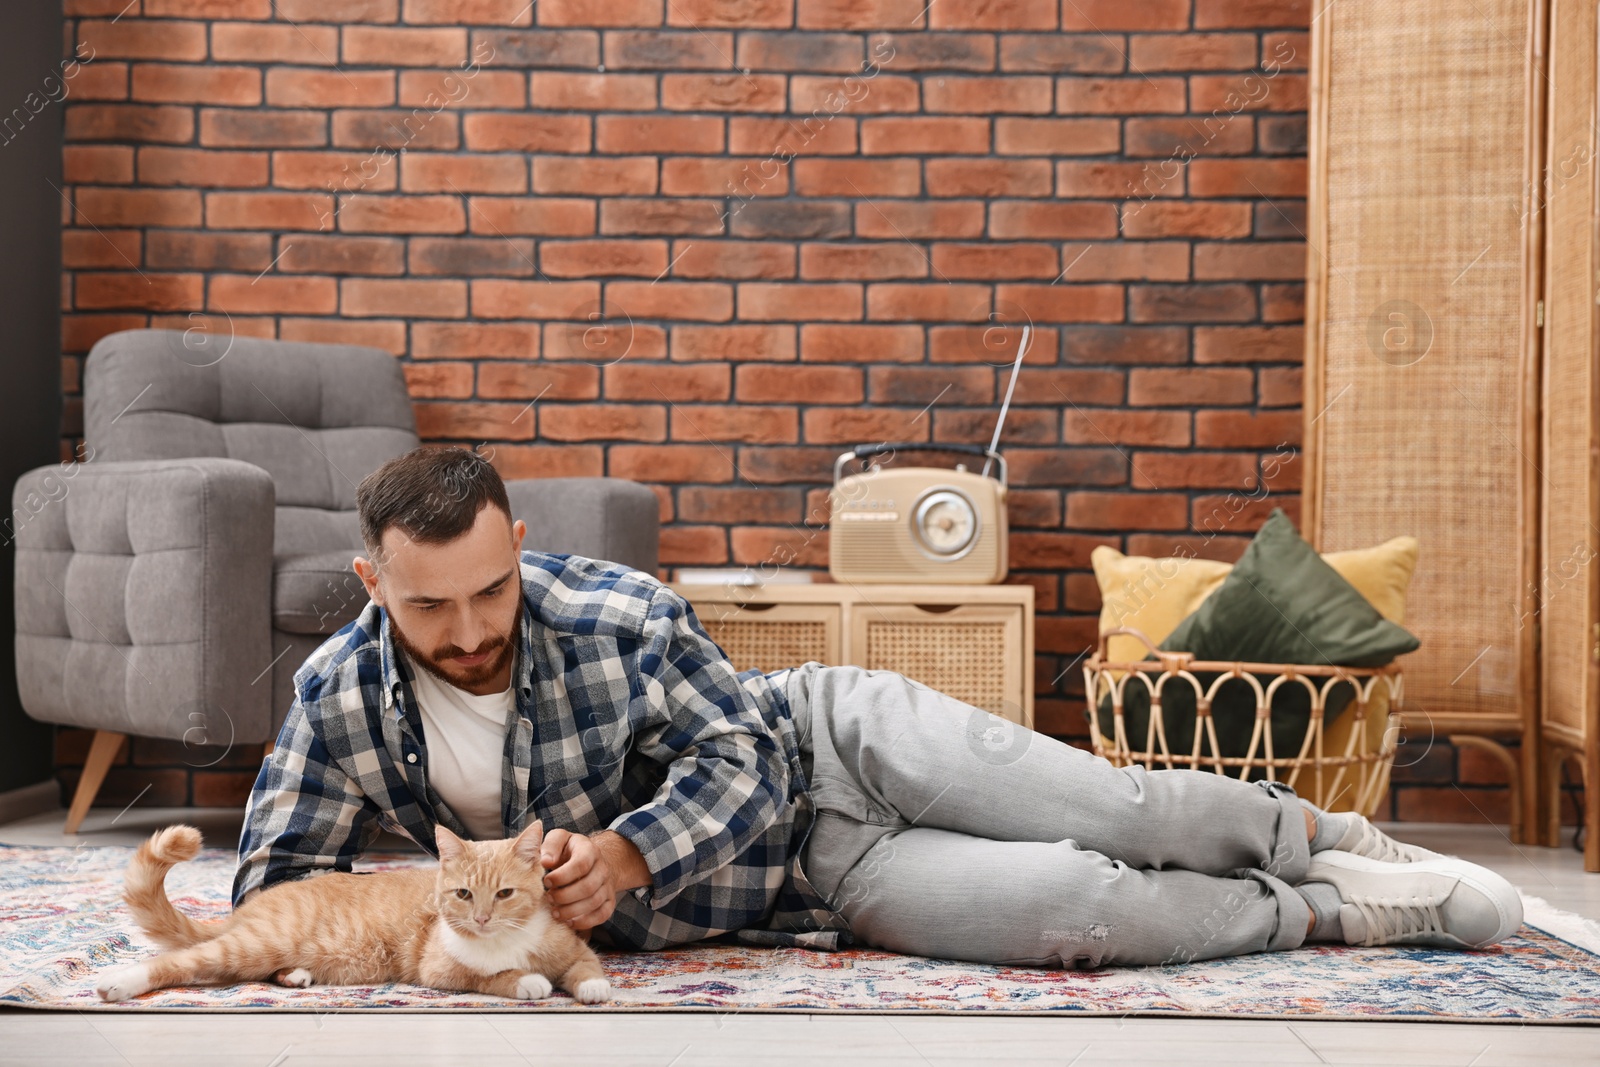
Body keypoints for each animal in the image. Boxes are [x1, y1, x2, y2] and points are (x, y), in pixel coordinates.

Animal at [92, 825, 611, 1004]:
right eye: (464, 894)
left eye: (504, 894)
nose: (482, 919)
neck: (506, 941)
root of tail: (257, 905)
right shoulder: (440, 971)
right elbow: (492, 977)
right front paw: (526, 981)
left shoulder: (573, 947)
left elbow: (585, 966)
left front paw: (595, 987)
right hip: (254, 944)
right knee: (173, 963)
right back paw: (118, 983)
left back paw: (296, 975)